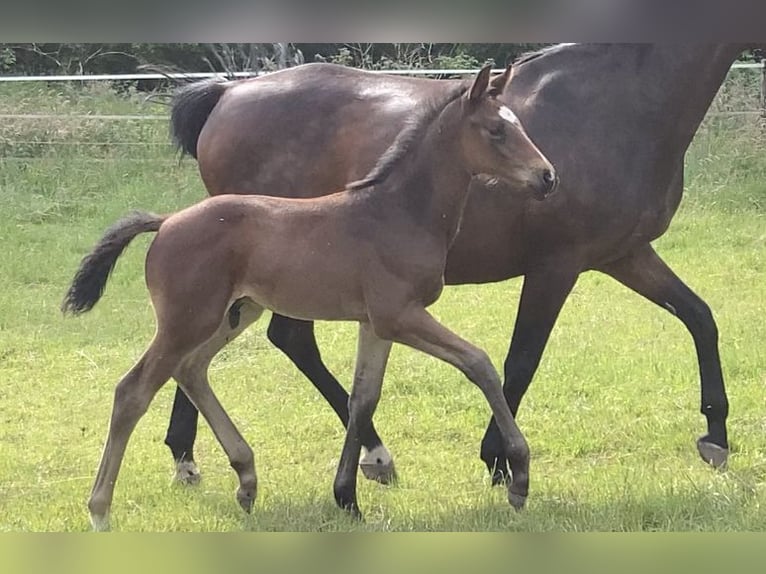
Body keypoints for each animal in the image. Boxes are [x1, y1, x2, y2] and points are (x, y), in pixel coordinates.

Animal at [64, 64, 560, 532]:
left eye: (518, 124)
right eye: (496, 130)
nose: (548, 176)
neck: (399, 212)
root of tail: (165, 222)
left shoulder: (374, 324)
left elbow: (363, 399)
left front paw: (348, 497)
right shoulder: (399, 314)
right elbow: (480, 363)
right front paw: (518, 477)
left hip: (234, 312)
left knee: (191, 369)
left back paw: (247, 479)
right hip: (187, 319)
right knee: (133, 390)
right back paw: (100, 510)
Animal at [168, 42, 752, 488]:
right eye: (496, 132)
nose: (547, 178)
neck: (620, 101)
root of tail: (229, 93)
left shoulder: (626, 255)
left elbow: (700, 318)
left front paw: (715, 439)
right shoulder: (556, 266)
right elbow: (521, 359)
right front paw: (500, 459)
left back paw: (188, 456)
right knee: (267, 341)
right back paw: (369, 454)